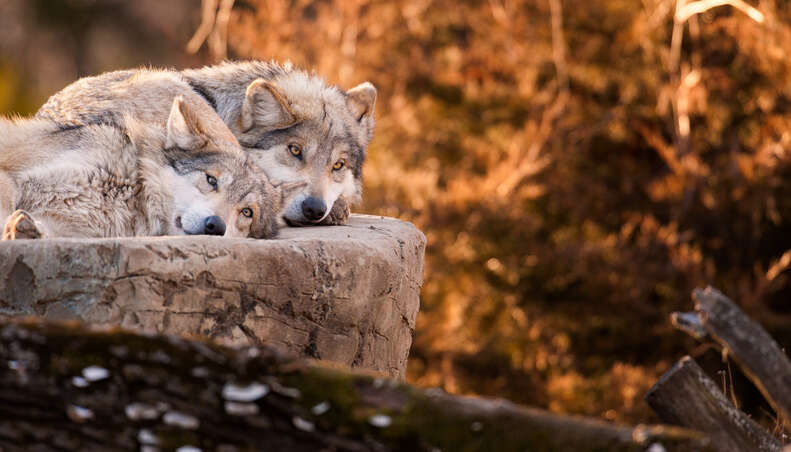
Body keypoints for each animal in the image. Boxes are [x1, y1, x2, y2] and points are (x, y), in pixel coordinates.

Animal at [1, 95, 282, 240]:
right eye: (211, 180)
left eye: (247, 212)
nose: (216, 226)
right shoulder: (10, 174)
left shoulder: (70, 229)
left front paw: (23, 230)